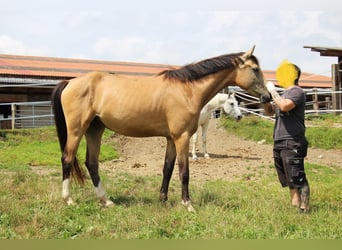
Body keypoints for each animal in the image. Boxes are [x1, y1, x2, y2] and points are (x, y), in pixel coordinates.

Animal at [50, 46, 270, 212]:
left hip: (95, 130)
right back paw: (68, 199)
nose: (267, 97)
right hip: (77, 129)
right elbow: (184, 171)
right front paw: (188, 204)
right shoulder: (182, 137)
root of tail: (69, 82)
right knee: (67, 158)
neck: (187, 91)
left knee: (92, 163)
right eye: (254, 69)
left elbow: (167, 168)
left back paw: (106, 200)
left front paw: (163, 200)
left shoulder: (171, 139)